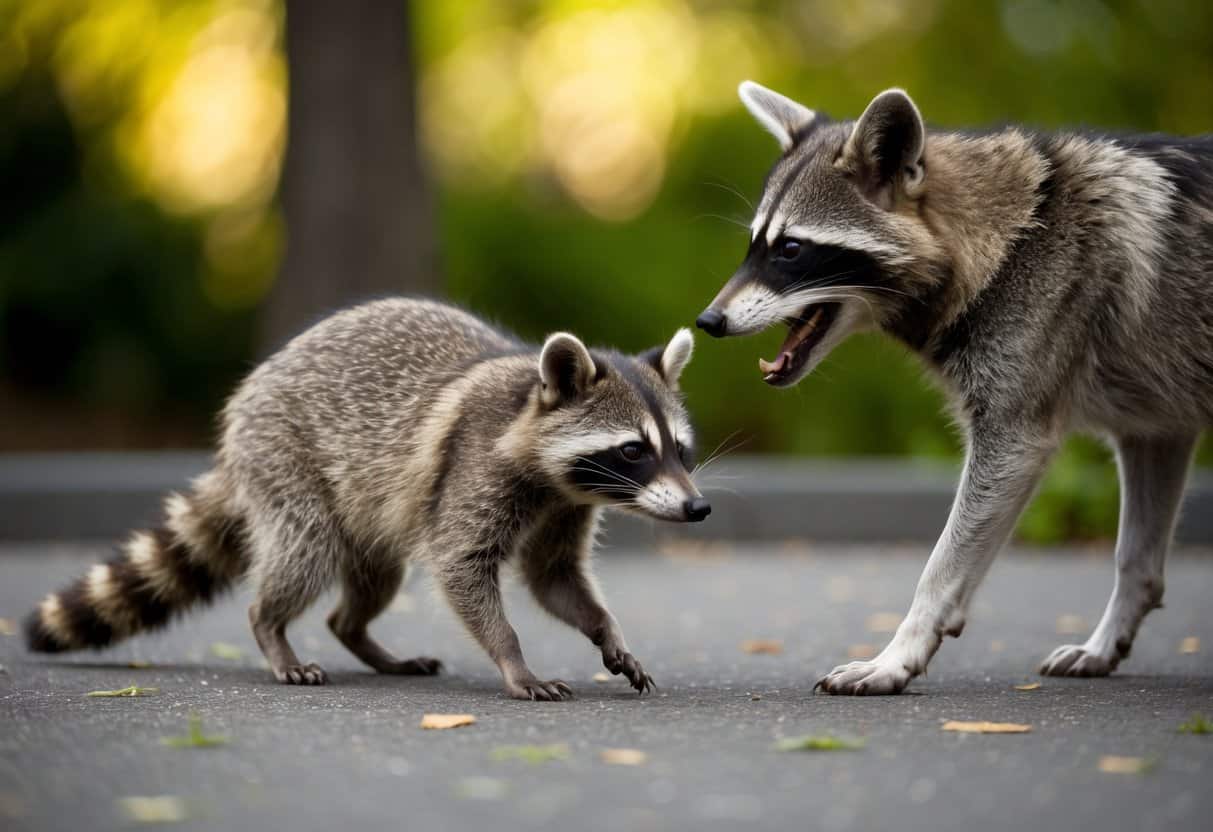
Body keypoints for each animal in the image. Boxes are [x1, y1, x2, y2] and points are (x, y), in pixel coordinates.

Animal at [26, 298, 707, 700]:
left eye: (681, 449)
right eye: (633, 451)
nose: (697, 509)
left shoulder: (566, 505)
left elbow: (554, 577)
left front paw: (605, 628)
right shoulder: (473, 467)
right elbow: (461, 567)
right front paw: (514, 660)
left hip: (370, 508)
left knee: (372, 580)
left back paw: (359, 635)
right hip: (284, 457)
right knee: (304, 553)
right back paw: (270, 626)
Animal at [697, 81, 1213, 694]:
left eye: (791, 250)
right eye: (753, 245)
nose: (706, 321)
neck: (1008, 234)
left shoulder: (1018, 415)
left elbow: (943, 564)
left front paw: (902, 648)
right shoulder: (1156, 422)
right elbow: (1136, 556)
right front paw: (1113, 628)